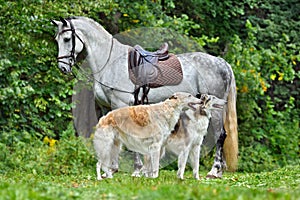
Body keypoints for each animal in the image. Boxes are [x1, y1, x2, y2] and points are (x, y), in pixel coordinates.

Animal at [52, 16, 239, 178]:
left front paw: (135, 169)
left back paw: (214, 170)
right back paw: (219, 170)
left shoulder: (120, 106)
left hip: (215, 110)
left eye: (67, 39)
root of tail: (222, 62)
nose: (62, 68)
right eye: (57, 39)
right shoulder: (106, 109)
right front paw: (112, 169)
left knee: (220, 135)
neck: (110, 63)